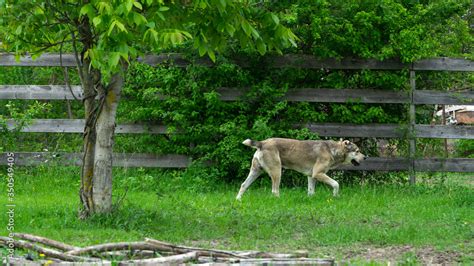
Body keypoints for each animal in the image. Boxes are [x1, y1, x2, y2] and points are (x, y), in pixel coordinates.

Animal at [237, 137, 366, 200]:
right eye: (357, 151)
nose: (365, 157)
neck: (332, 150)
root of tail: (262, 143)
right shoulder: (318, 174)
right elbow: (336, 184)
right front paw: (335, 196)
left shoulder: (311, 176)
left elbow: (311, 192)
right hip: (277, 172)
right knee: (274, 191)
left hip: (255, 171)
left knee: (243, 185)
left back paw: (238, 200)